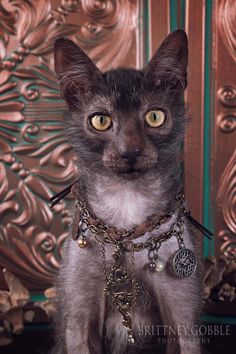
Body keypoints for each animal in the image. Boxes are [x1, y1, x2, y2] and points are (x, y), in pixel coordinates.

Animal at [52, 28, 203, 354]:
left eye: (155, 117)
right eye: (100, 120)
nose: (130, 152)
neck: (126, 205)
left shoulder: (183, 313)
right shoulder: (78, 318)